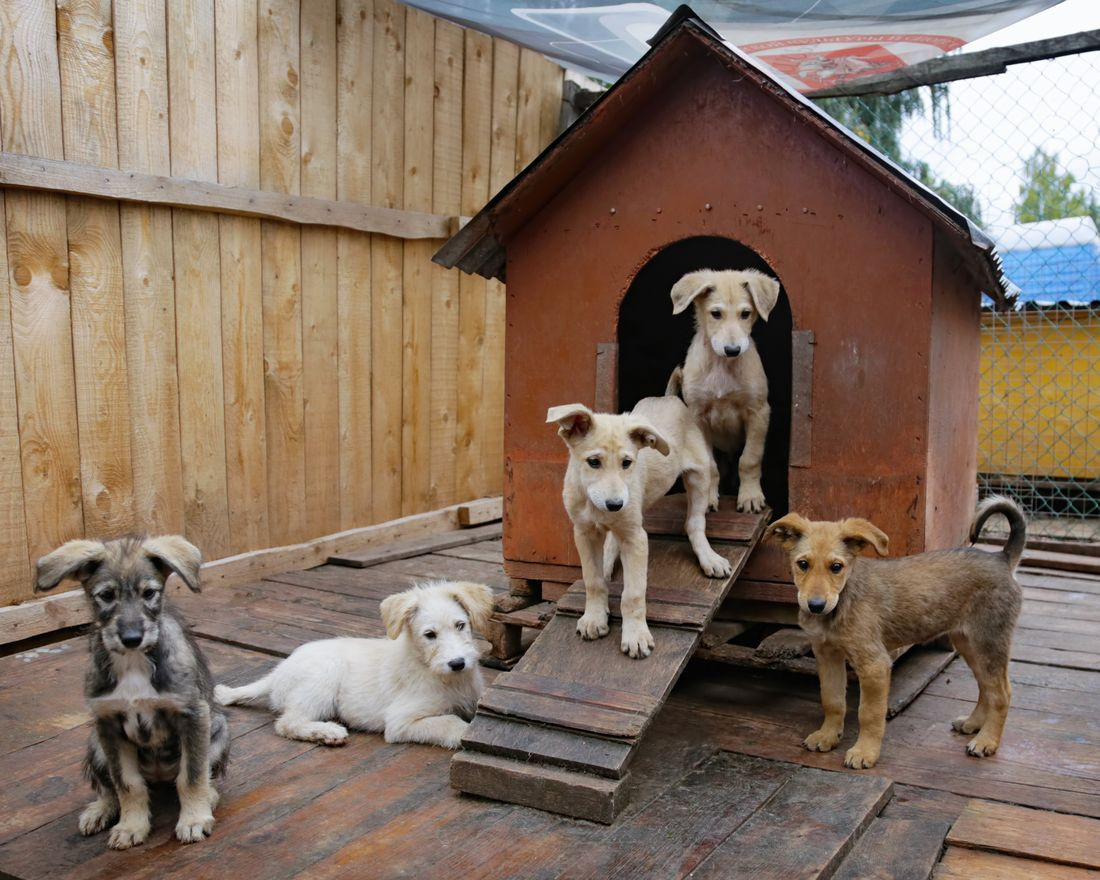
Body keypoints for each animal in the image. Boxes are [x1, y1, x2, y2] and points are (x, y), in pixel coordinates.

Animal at [36, 532, 227, 849]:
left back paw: (208, 797)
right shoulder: (109, 724)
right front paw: (131, 826)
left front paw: (194, 820)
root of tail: (159, 776)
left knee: (200, 776)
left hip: (219, 728)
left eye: (149, 593)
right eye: (106, 595)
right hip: (95, 743)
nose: (132, 638)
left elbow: (191, 776)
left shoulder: (193, 715)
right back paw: (99, 810)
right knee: (109, 788)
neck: (133, 662)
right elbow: (127, 784)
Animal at [214, 580, 490, 748]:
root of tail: (278, 672)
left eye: (460, 625)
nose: (458, 663)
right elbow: (451, 723)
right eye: (430, 635)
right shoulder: (401, 721)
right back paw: (327, 733)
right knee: (287, 723)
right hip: (324, 676)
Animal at [547, 396, 734, 655]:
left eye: (627, 463)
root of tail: (667, 397)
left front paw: (635, 635)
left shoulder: (635, 538)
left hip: (698, 474)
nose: (615, 504)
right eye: (593, 462)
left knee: (695, 522)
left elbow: (633, 593)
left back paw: (709, 557)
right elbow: (593, 580)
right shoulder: (584, 533)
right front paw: (594, 617)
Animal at [664, 269, 778, 514]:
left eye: (745, 314)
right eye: (716, 314)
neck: (722, 366)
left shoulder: (758, 412)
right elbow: (709, 465)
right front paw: (706, 497)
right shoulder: (698, 417)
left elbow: (750, 459)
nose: (733, 350)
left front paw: (750, 496)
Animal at [765, 501, 1020, 770]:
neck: (841, 603)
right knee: (986, 687)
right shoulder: (827, 656)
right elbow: (832, 700)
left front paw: (865, 752)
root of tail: (1001, 558)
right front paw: (827, 736)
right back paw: (973, 724)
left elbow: (869, 714)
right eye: (802, 564)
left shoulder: (874, 665)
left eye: (836, 567)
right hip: (969, 643)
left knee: (1002, 693)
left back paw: (987, 741)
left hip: (989, 641)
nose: (815, 606)